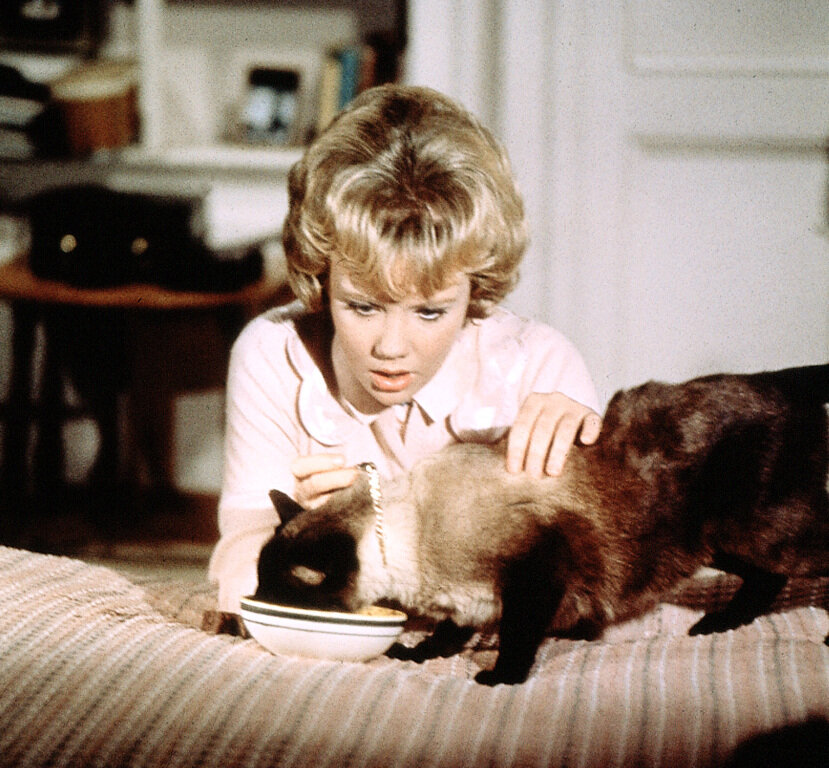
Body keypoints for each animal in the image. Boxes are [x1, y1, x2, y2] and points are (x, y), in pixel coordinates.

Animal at [254, 364, 829, 685]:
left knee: (787, 572)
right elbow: (446, 637)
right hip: (720, 546)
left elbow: (516, 637)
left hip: (754, 536)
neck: (413, 532)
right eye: (259, 585)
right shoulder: (467, 604)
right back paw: (717, 624)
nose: (251, 604)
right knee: (765, 582)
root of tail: (779, 383)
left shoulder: (535, 576)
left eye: (276, 591)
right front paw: (417, 655)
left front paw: (500, 680)